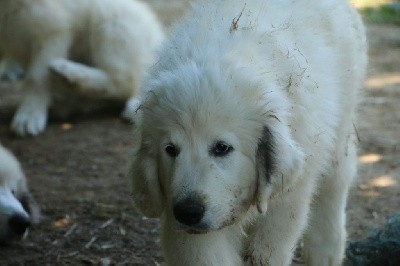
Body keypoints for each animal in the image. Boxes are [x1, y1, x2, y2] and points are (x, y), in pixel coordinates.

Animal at [0, 0, 163, 136]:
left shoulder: (52, 29)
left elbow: (36, 77)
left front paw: (28, 116)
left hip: (111, 13)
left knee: (124, 80)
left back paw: (67, 71)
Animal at [127, 0, 366, 266]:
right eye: (170, 150)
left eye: (222, 148)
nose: (188, 212)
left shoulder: (286, 197)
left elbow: (268, 249)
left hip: (340, 128)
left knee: (335, 185)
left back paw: (326, 251)